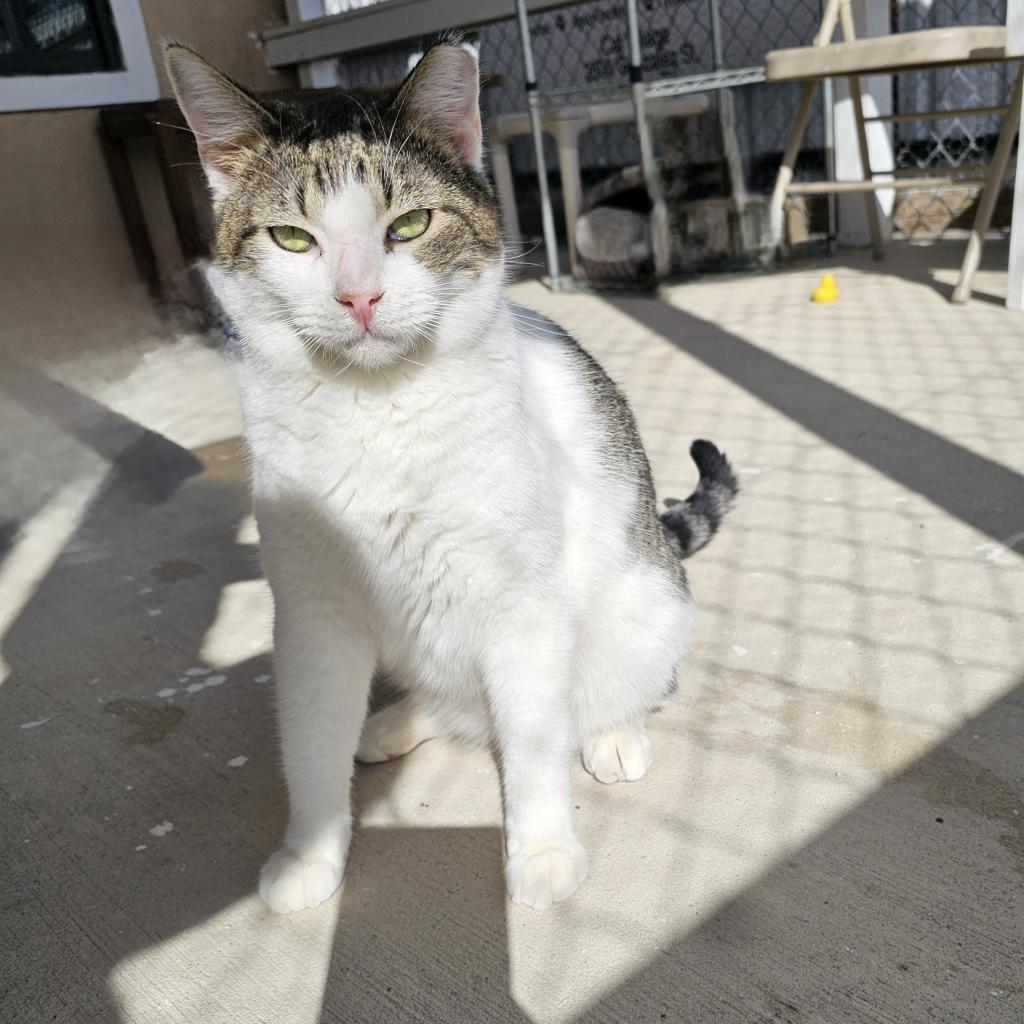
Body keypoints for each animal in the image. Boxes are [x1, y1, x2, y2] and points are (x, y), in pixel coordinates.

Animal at [165, 37, 737, 913]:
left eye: (409, 225)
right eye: (292, 238)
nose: (359, 296)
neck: (376, 412)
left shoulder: (523, 609)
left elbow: (532, 743)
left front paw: (541, 850)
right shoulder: (313, 615)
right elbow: (311, 744)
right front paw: (309, 855)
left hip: (646, 601)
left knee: (626, 687)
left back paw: (613, 732)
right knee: (460, 705)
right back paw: (398, 724)